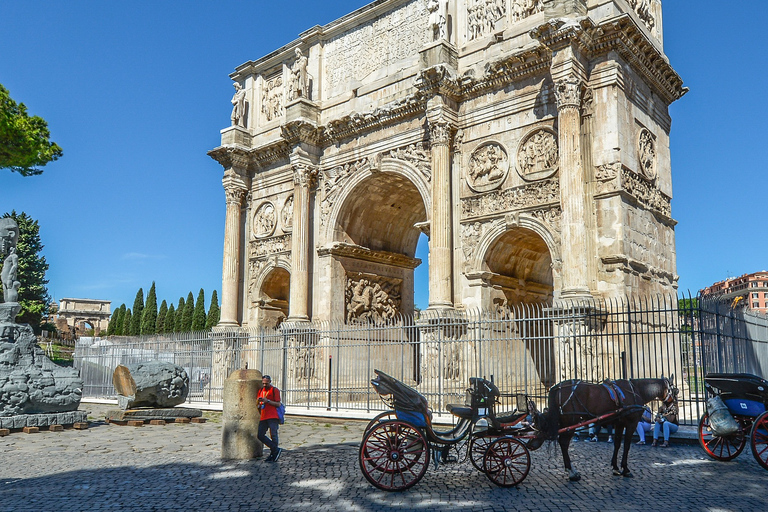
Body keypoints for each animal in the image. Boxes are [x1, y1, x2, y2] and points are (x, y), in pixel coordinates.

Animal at [532, 376, 676, 480]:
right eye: (675, 390)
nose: (672, 408)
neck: (636, 390)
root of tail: (556, 387)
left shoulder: (619, 423)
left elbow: (617, 444)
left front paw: (616, 467)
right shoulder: (631, 423)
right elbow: (627, 445)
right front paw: (625, 469)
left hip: (564, 422)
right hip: (571, 421)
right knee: (563, 443)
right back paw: (571, 471)